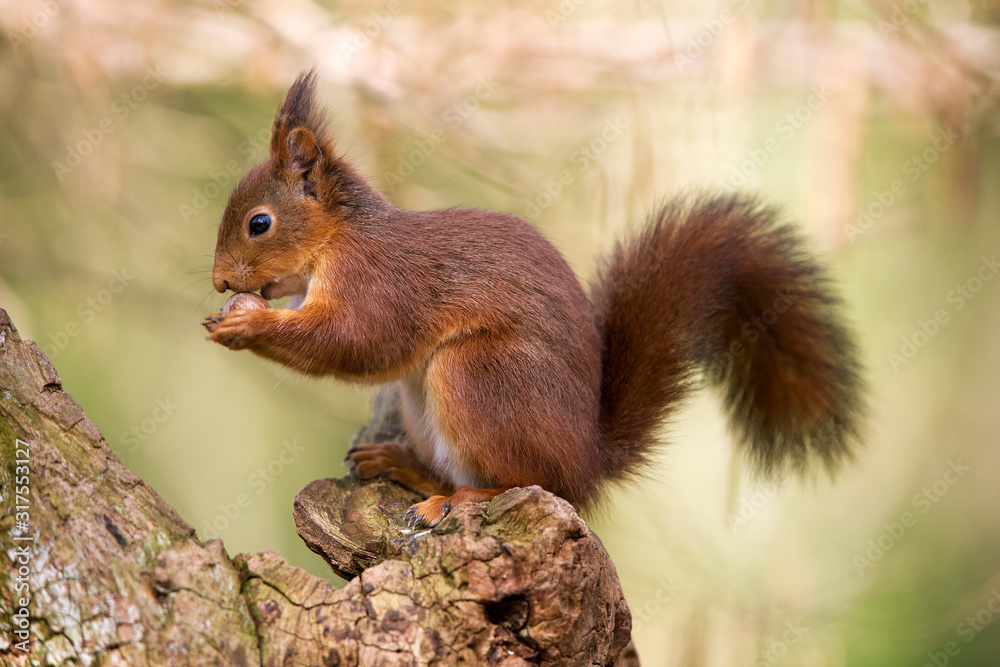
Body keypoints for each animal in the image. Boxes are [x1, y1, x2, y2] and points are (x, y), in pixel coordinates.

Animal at [203, 69, 868, 528]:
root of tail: (588, 459)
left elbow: (358, 342)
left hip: (478, 374)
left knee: (534, 483)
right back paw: (406, 468)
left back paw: (460, 499)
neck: (340, 238)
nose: (219, 281)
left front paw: (246, 327)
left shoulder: (380, 281)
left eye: (259, 224)